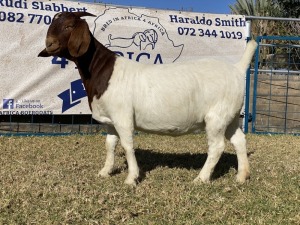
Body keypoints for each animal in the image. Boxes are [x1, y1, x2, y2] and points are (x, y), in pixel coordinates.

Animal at [38, 11, 256, 185]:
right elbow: (110, 145)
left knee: (217, 147)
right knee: (239, 140)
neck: (103, 72)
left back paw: (201, 178)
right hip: (230, 116)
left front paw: (131, 178)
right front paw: (105, 172)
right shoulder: (110, 121)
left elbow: (127, 145)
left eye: (68, 26)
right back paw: (242, 176)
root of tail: (237, 69)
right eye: (52, 25)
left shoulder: (123, 116)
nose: (49, 44)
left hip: (216, 116)